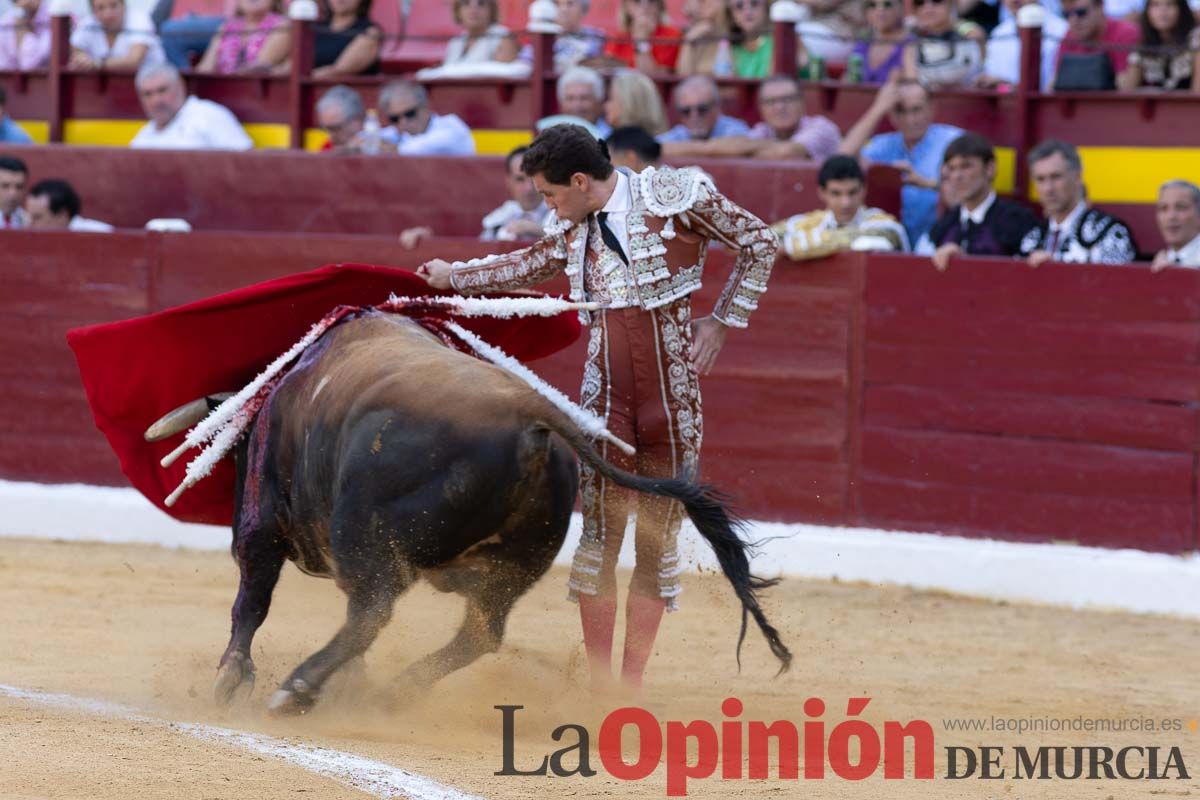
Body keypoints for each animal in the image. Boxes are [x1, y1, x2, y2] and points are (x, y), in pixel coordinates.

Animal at [147, 309, 787, 714]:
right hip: (518, 562)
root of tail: (533, 418)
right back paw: (392, 691)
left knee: (371, 612)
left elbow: (250, 599)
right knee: (479, 633)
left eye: (237, 462)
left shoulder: (262, 526)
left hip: (365, 538)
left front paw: (231, 680)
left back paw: (300, 689)